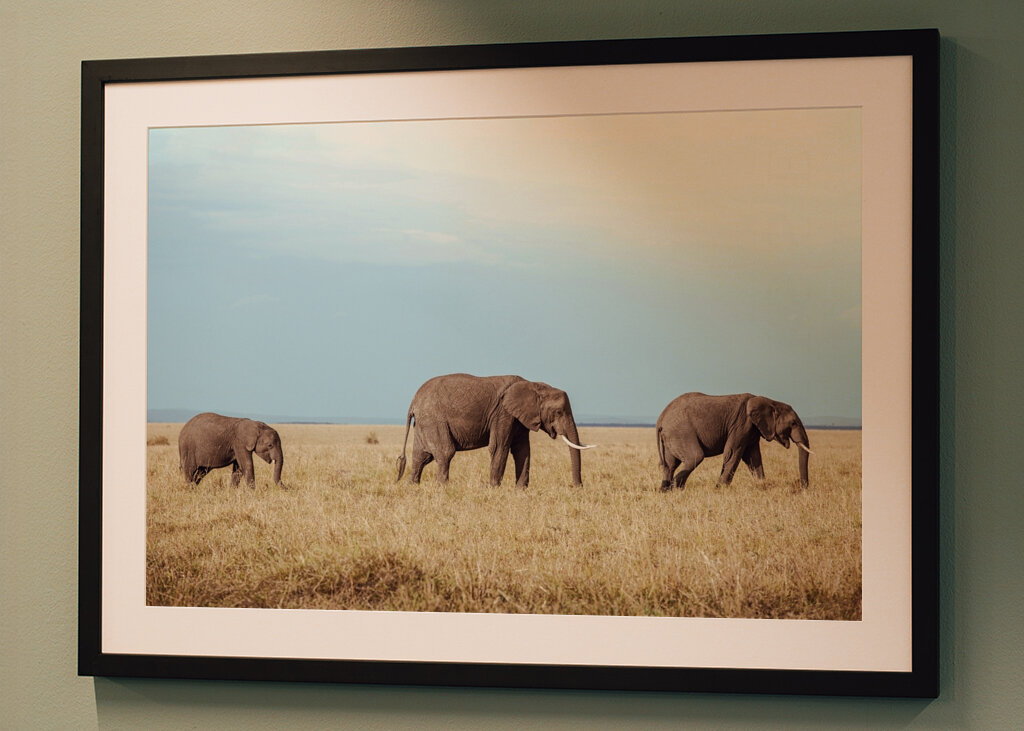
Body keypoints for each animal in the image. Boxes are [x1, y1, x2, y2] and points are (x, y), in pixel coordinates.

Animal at [396, 373, 594, 487]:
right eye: (559, 412)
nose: (577, 487)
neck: (533, 385)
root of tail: (414, 401)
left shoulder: (519, 418)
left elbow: (522, 450)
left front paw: (521, 490)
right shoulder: (503, 413)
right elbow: (499, 447)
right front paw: (494, 489)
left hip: (424, 422)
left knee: (421, 456)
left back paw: (411, 487)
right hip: (434, 419)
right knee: (445, 452)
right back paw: (443, 488)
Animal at [656, 393, 812, 491]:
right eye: (793, 423)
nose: (802, 487)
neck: (770, 401)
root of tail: (661, 417)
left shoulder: (752, 430)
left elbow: (753, 458)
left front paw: (762, 486)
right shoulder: (741, 425)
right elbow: (732, 453)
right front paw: (720, 489)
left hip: (671, 436)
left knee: (670, 465)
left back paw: (666, 490)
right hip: (681, 432)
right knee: (695, 456)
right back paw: (675, 488)